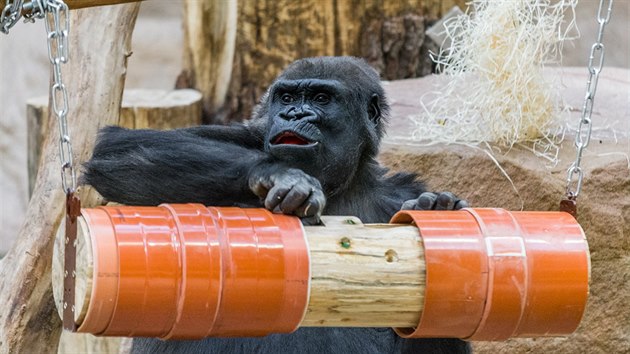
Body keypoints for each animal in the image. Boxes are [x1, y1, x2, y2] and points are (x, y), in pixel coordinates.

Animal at [82, 56, 470, 352]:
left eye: (321, 98)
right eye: (286, 98)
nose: (294, 115)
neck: (341, 184)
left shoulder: (397, 195)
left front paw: (435, 209)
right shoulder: (246, 134)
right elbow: (123, 149)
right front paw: (279, 175)